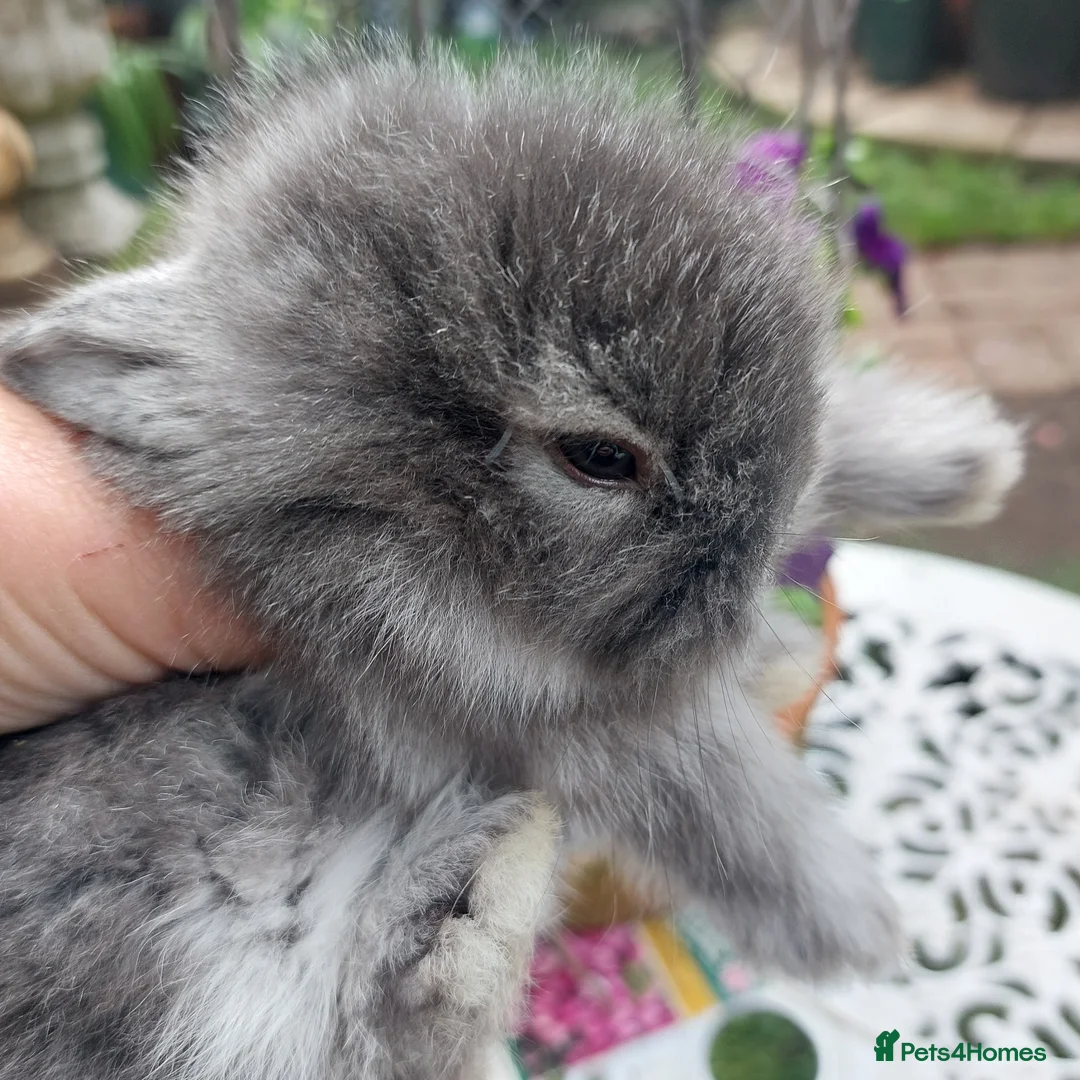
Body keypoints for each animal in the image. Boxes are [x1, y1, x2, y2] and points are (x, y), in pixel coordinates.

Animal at [0, 40, 1022, 1080]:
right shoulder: (557, 721)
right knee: (379, 1010)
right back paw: (483, 883)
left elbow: (842, 449)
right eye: (599, 457)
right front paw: (857, 925)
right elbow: (725, 791)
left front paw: (969, 461)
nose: (744, 592)